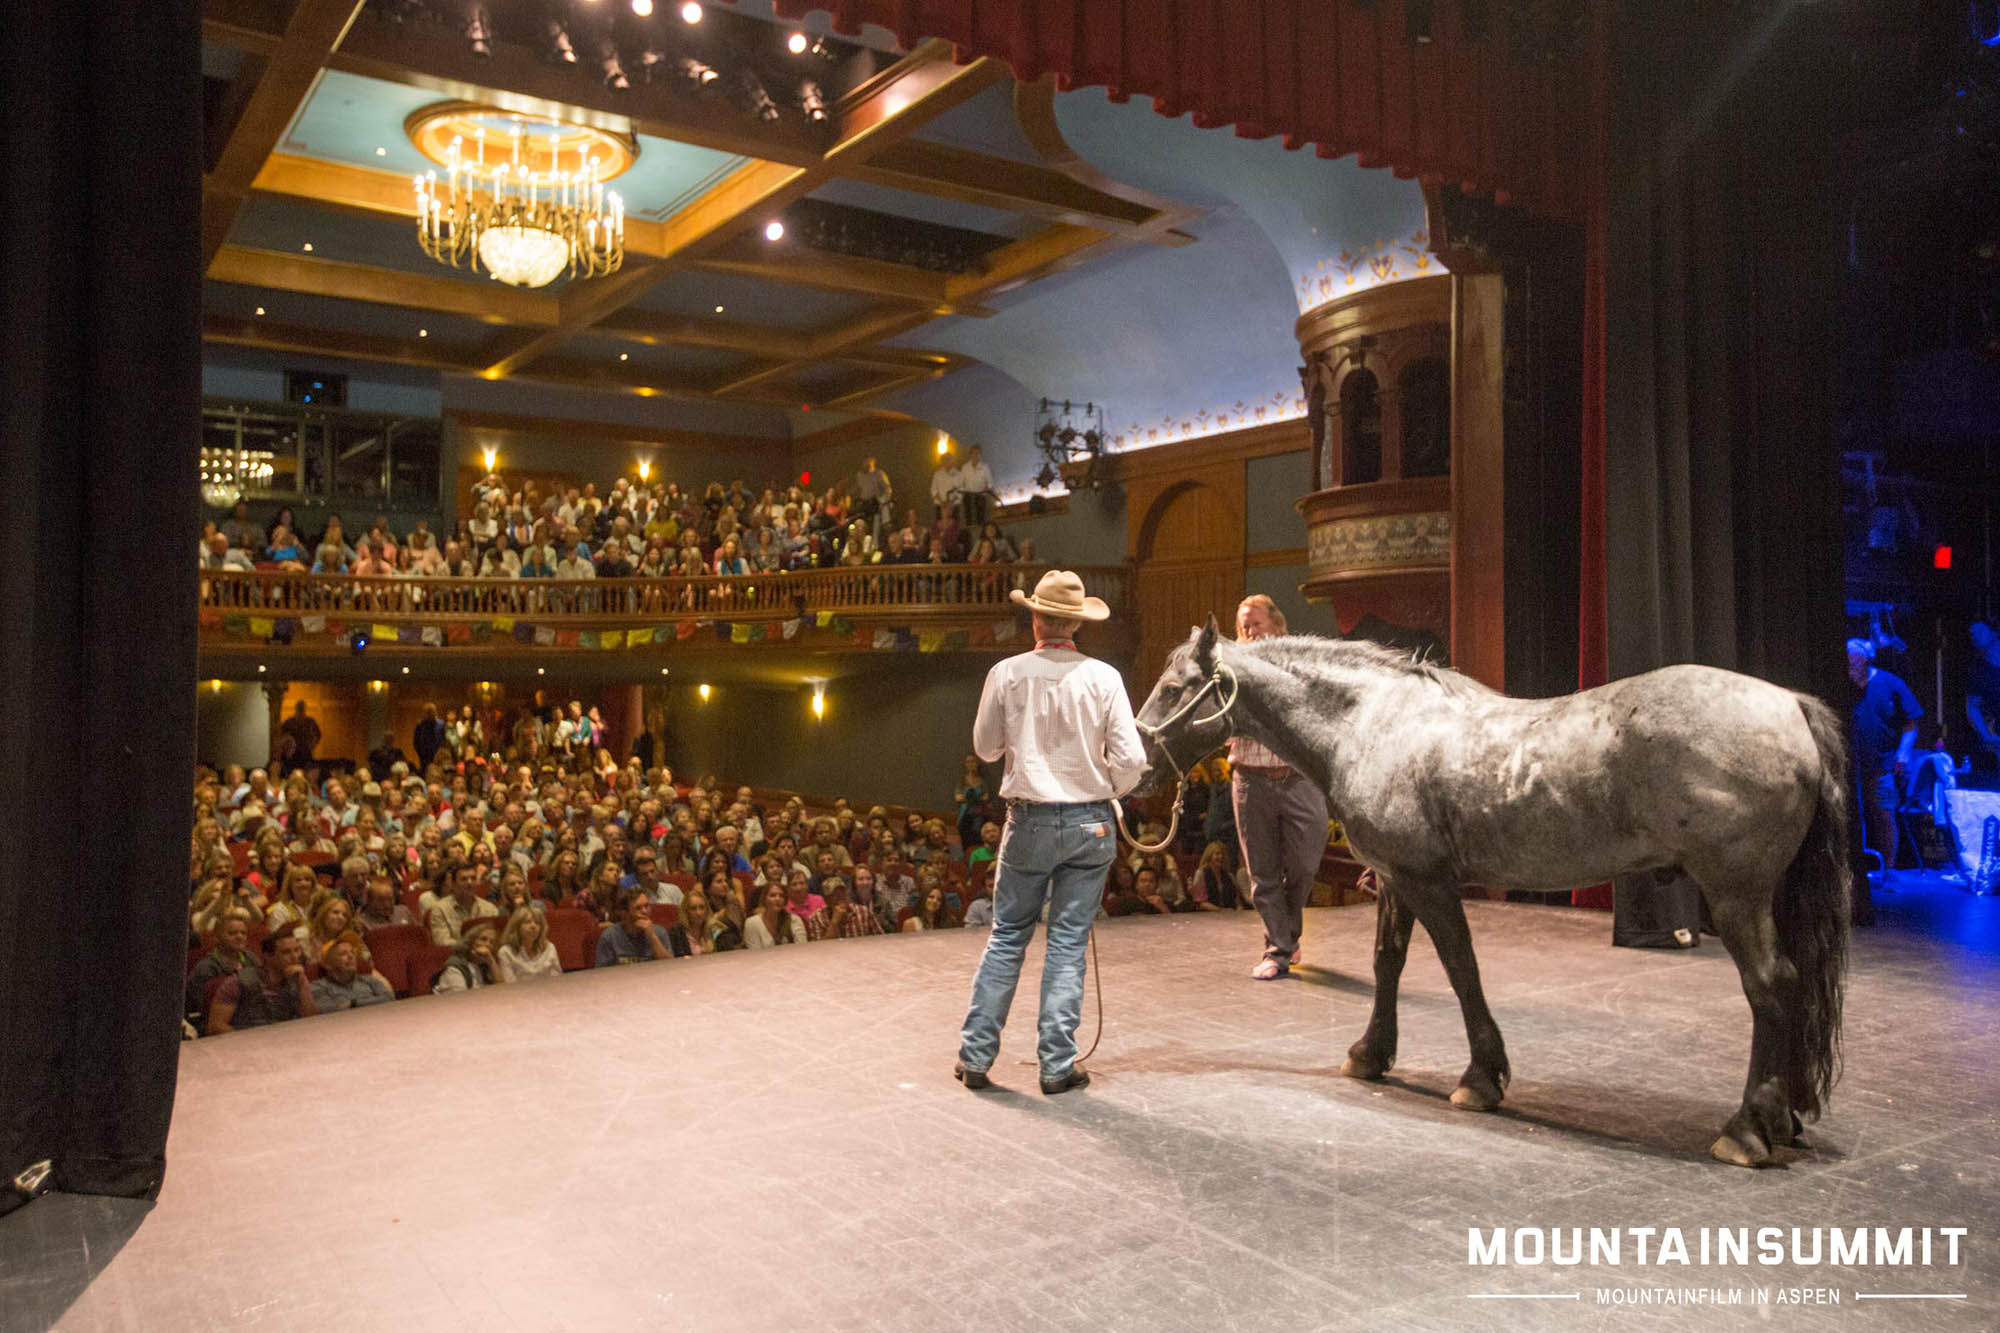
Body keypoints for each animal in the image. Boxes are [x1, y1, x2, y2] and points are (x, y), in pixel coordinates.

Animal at [1136, 620, 1848, 1160]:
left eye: (1174, 687)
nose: (1136, 766)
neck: (1371, 724)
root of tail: (1790, 706)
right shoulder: (1394, 879)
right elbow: (1388, 963)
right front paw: (1370, 1054)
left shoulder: (1427, 883)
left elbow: (1461, 968)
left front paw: (1481, 1078)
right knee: (1791, 986)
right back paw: (1782, 1117)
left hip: (1735, 895)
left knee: (1771, 985)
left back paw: (1747, 1130)